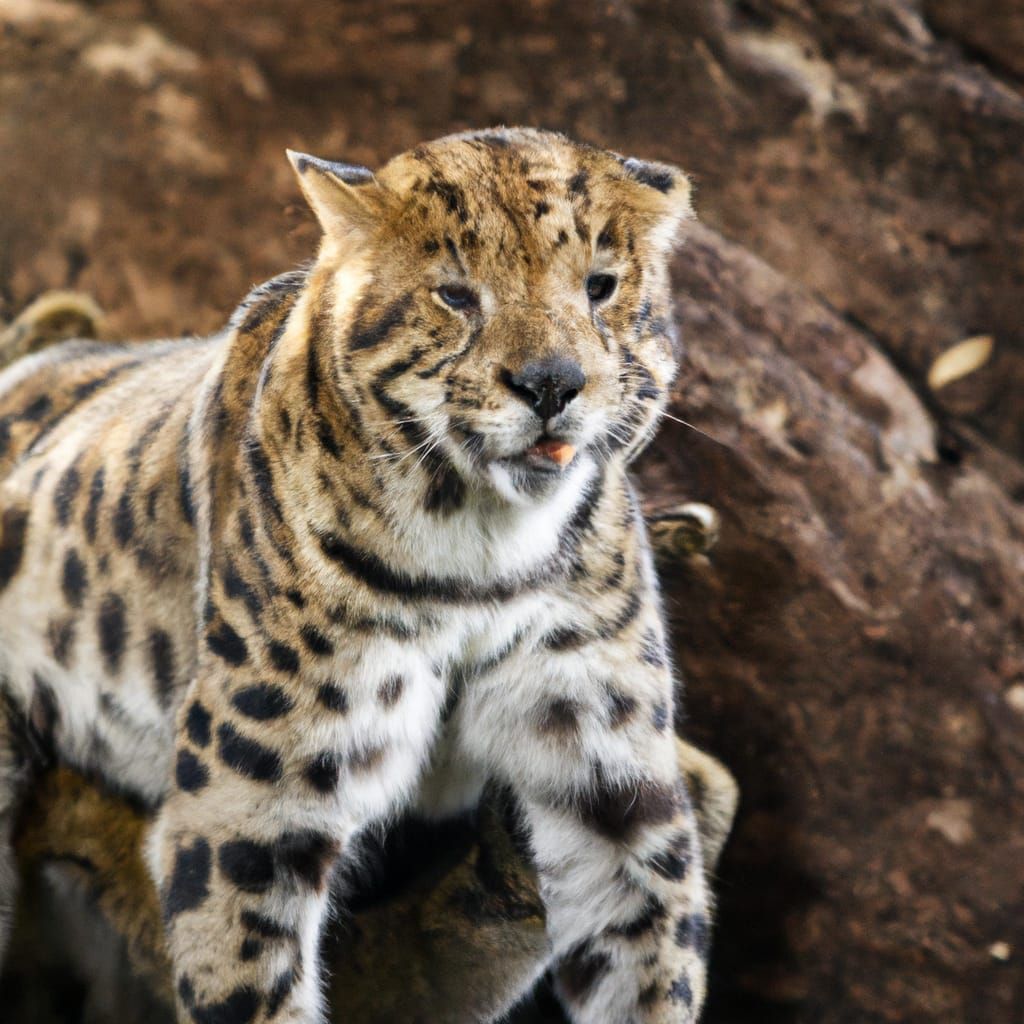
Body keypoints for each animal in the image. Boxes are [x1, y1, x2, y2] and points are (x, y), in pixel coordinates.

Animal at [0, 126, 733, 1024]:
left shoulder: (609, 777)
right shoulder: (254, 803)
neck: (485, 553)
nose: (553, 385)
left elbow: (650, 958)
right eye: (455, 294)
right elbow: (248, 973)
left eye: (601, 285)